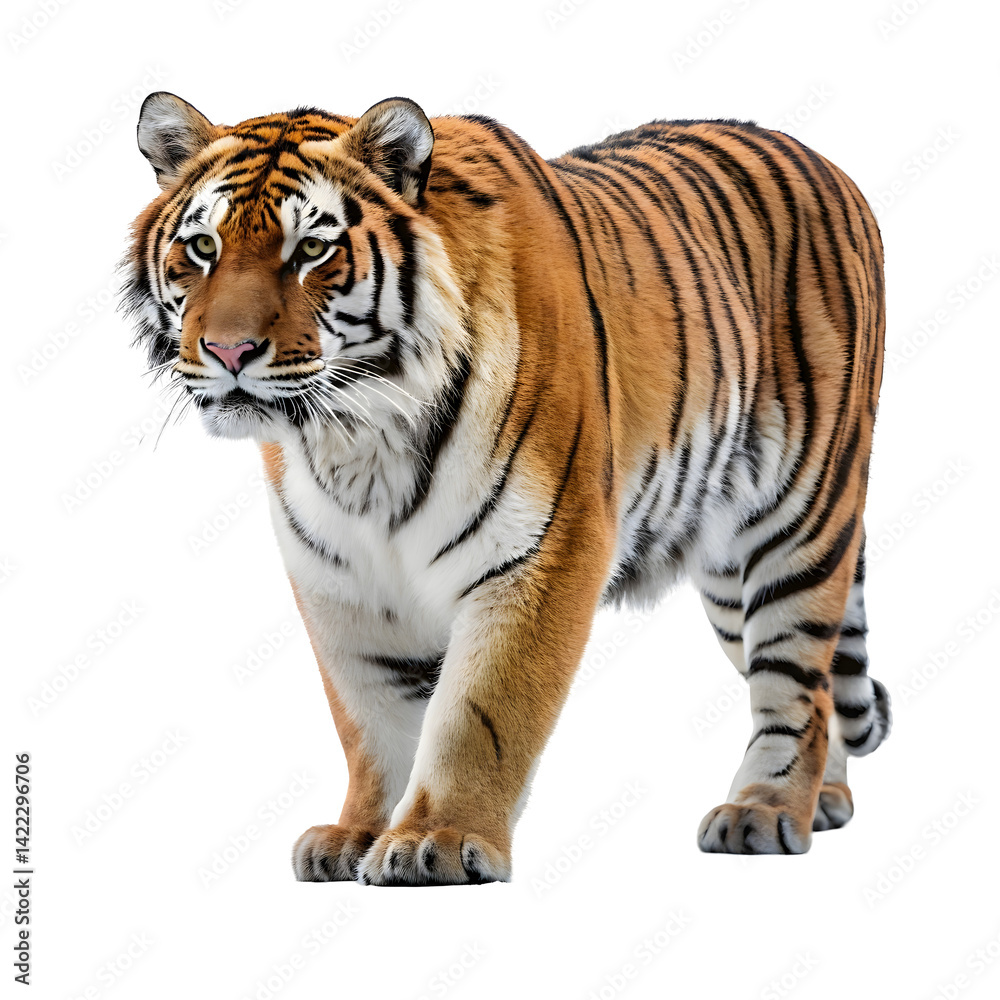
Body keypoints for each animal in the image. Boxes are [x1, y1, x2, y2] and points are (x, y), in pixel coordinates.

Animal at [122, 91, 891, 885]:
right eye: (203, 248)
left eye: (310, 251)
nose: (228, 351)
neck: (357, 433)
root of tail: (827, 164)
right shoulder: (341, 584)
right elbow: (371, 722)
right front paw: (360, 834)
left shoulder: (544, 549)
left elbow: (480, 713)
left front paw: (438, 839)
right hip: (727, 576)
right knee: (817, 688)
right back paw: (823, 802)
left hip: (798, 528)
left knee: (798, 685)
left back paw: (765, 812)